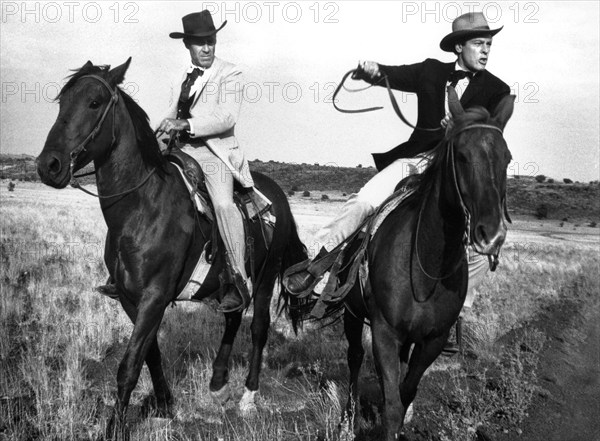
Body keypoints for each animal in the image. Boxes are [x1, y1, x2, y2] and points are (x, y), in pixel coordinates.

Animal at [35, 58, 308, 436]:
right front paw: (164, 402)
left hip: (266, 279)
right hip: (230, 285)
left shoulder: (155, 296)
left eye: (93, 102)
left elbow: (129, 364)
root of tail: (278, 196)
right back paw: (218, 384)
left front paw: (115, 427)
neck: (141, 206)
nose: (49, 165)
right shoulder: (131, 297)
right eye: (62, 102)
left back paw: (248, 397)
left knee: (258, 328)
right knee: (233, 316)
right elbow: (149, 354)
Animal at [324, 90, 516, 440]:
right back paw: (346, 422)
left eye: (506, 158)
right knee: (355, 358)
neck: (426, 264)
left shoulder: (432, 340)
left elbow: (405, 392)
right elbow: (392, 405)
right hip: (352, 315)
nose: (492, 234)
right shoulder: (384, 333)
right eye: (462, 156)